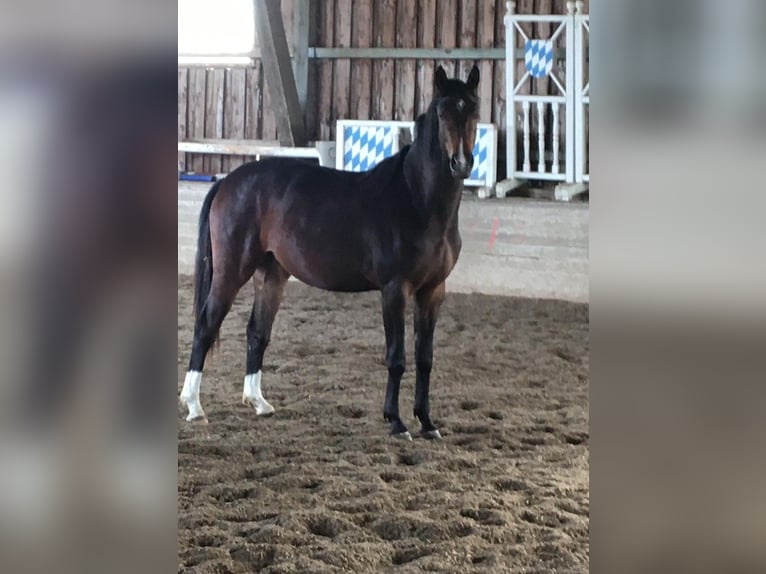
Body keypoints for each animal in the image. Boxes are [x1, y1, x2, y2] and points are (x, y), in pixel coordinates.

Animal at [180, 65, 480, 440]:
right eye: (443, 113)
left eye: (474, 110)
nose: (461, 163)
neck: (416, 201)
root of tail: (227, 181)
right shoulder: (395, 290)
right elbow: (396, 358)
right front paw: (396, 422)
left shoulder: (433, 291)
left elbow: (425, 358)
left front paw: (427, 422)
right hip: (231, 270)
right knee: (205, 326)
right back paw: (194, 406)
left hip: (272, 274)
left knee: (257, 332)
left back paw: (258, 402)